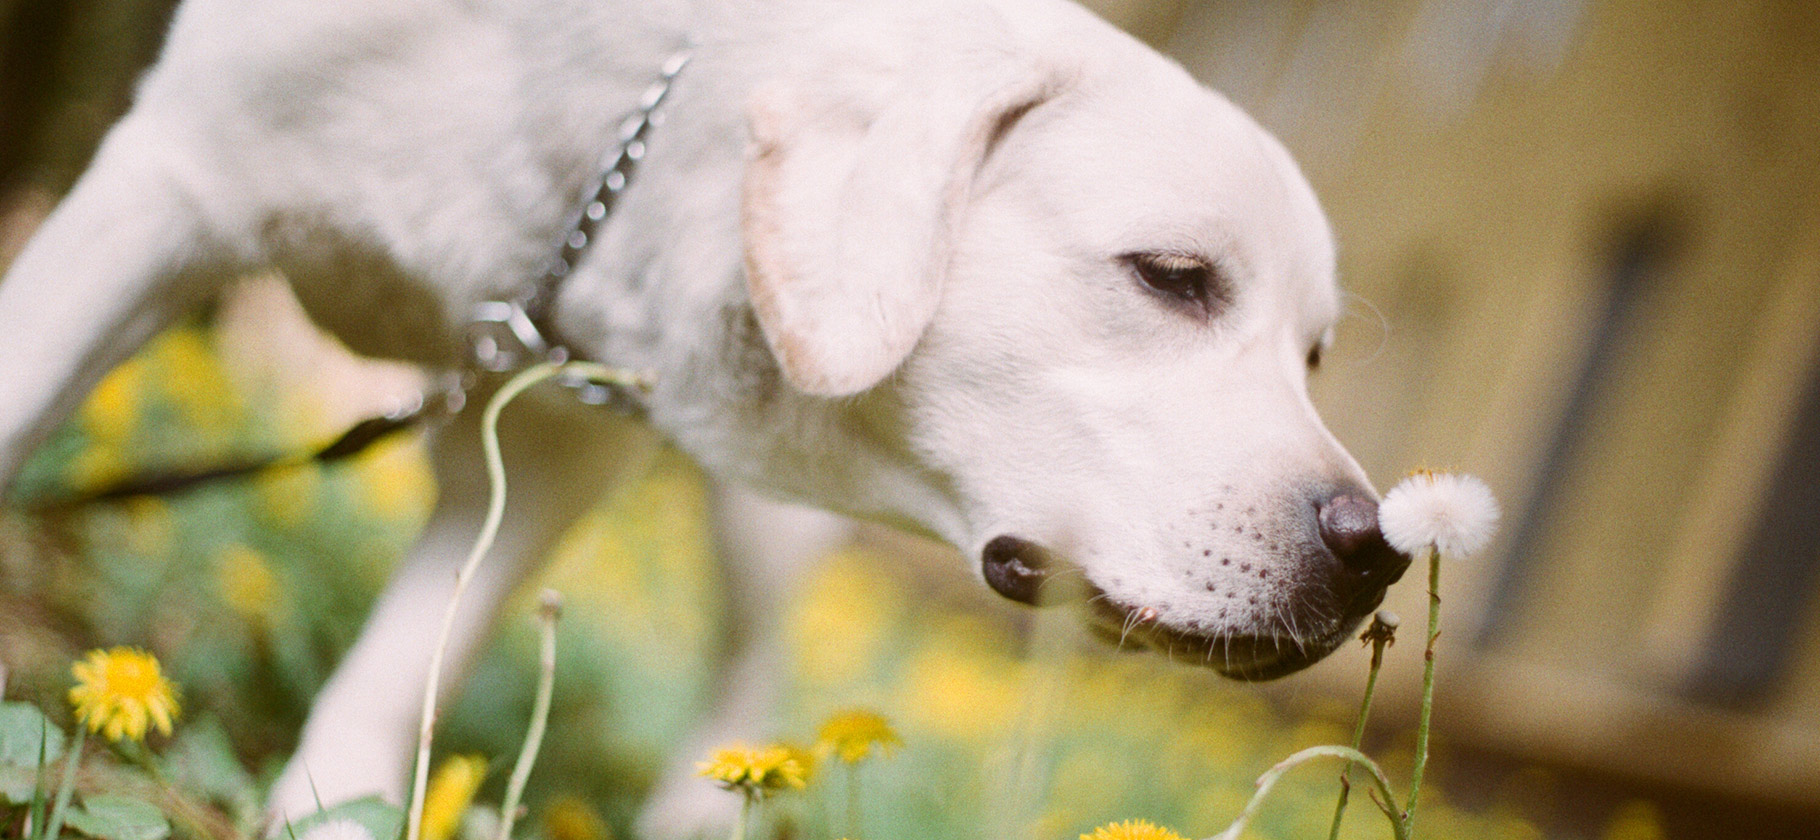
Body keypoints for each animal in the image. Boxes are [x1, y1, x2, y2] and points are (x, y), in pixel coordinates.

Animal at [0, 0, 1405, 829]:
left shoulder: (555, 441)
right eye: (1171, 277)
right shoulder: (164, 182)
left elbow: (402, 664)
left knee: (744, 677)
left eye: (1312, 353)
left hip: (754, 540)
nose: (1378, 549)